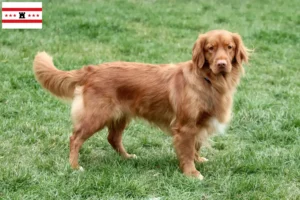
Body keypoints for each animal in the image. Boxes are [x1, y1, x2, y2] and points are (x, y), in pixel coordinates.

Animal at [33, 29, 248, 180]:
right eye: (210, 48)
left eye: (229, 47)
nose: (222, 64)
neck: (208, 80)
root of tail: (91, 70)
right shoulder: (185, 126)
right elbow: (187, 151)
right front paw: (191, 173)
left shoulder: (199, 124)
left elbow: (196, 145)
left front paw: (198, 160)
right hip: (96, 116)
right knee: (75, 138)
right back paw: (74, 166)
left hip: (120, 116)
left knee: (113, 138)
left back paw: (127, 157)